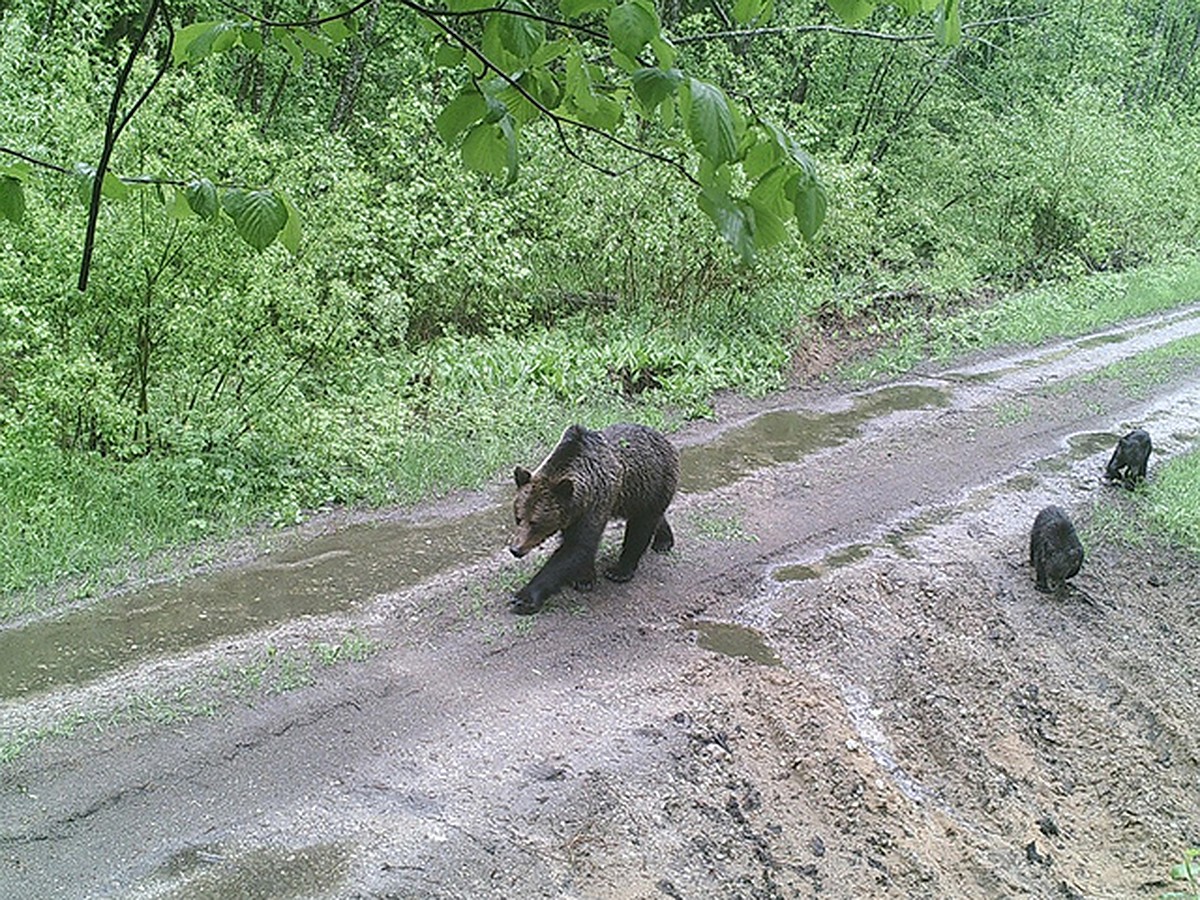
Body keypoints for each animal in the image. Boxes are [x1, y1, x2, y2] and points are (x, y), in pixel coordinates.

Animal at [506, 427, 681, 619]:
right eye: (518, 518)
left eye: (535, 522)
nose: (516, 549)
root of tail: (664, 439)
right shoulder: (573, 512)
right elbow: (578, 547)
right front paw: (584, 578)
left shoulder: (595, 503)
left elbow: (576, 547)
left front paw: (523, 598)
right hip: (635, 494)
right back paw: (663, 540)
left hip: (653, 483)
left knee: (641, 525)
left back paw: (621, 570)